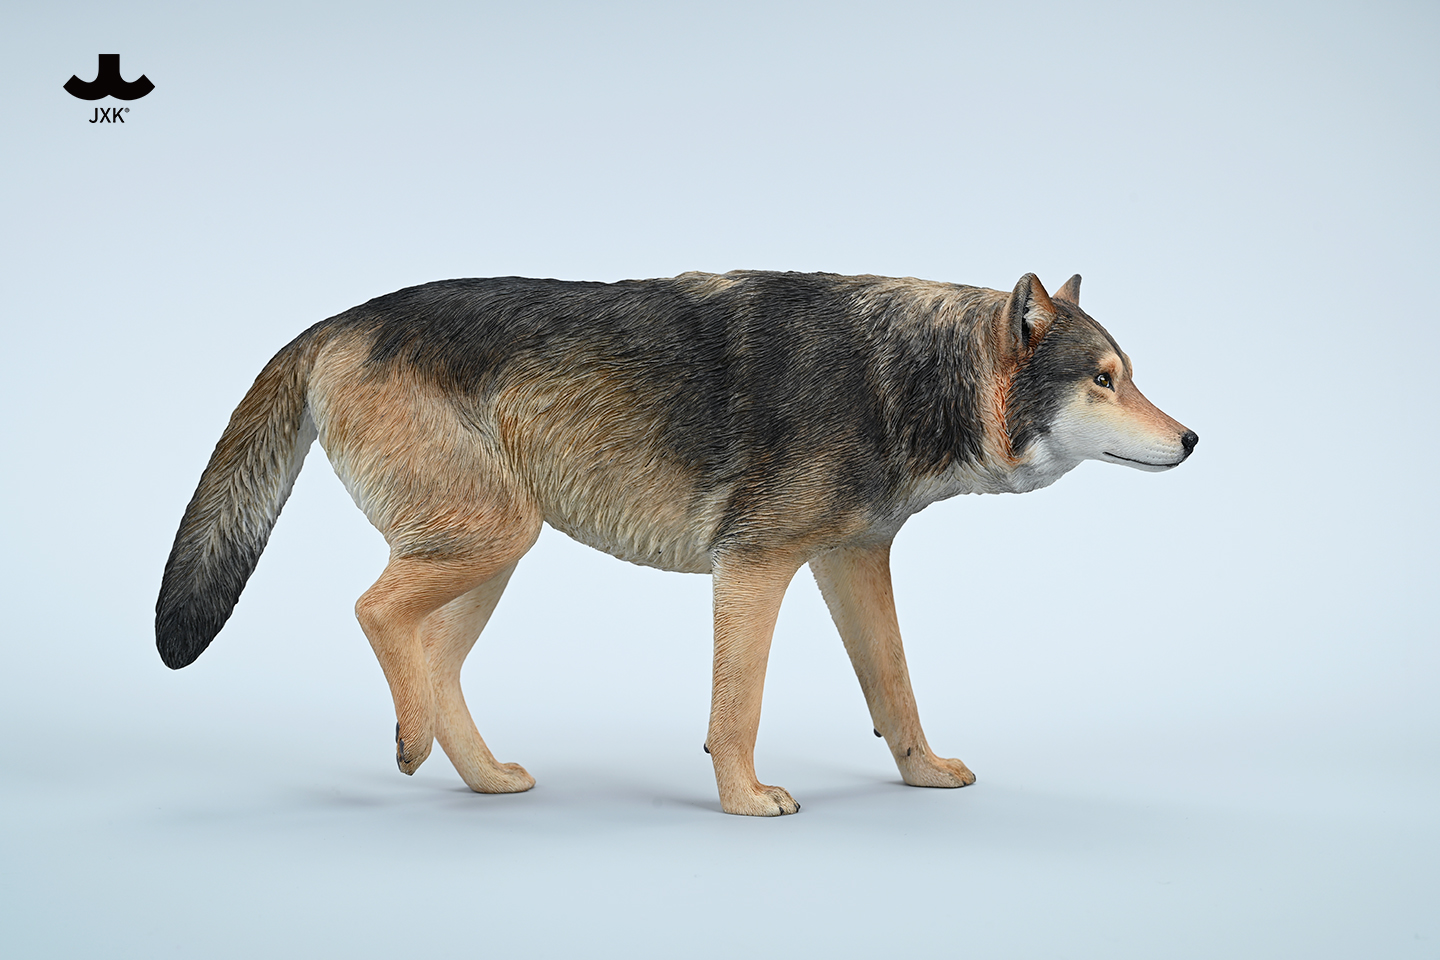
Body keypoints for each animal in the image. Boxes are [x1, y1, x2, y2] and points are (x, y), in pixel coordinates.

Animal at [156, 270, 1196, 816]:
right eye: (1104, 378)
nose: (1192, 440)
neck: (903, 373)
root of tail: (334, 319)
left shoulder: (853, 564)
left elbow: (895, 690)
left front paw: (922, 775)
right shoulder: (755, 567)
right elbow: (736, 708)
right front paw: (745, 800)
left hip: (492, 556)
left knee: (433, 662)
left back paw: (486, 779)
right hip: (487, 540)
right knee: (373, 613)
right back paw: (411, 745)